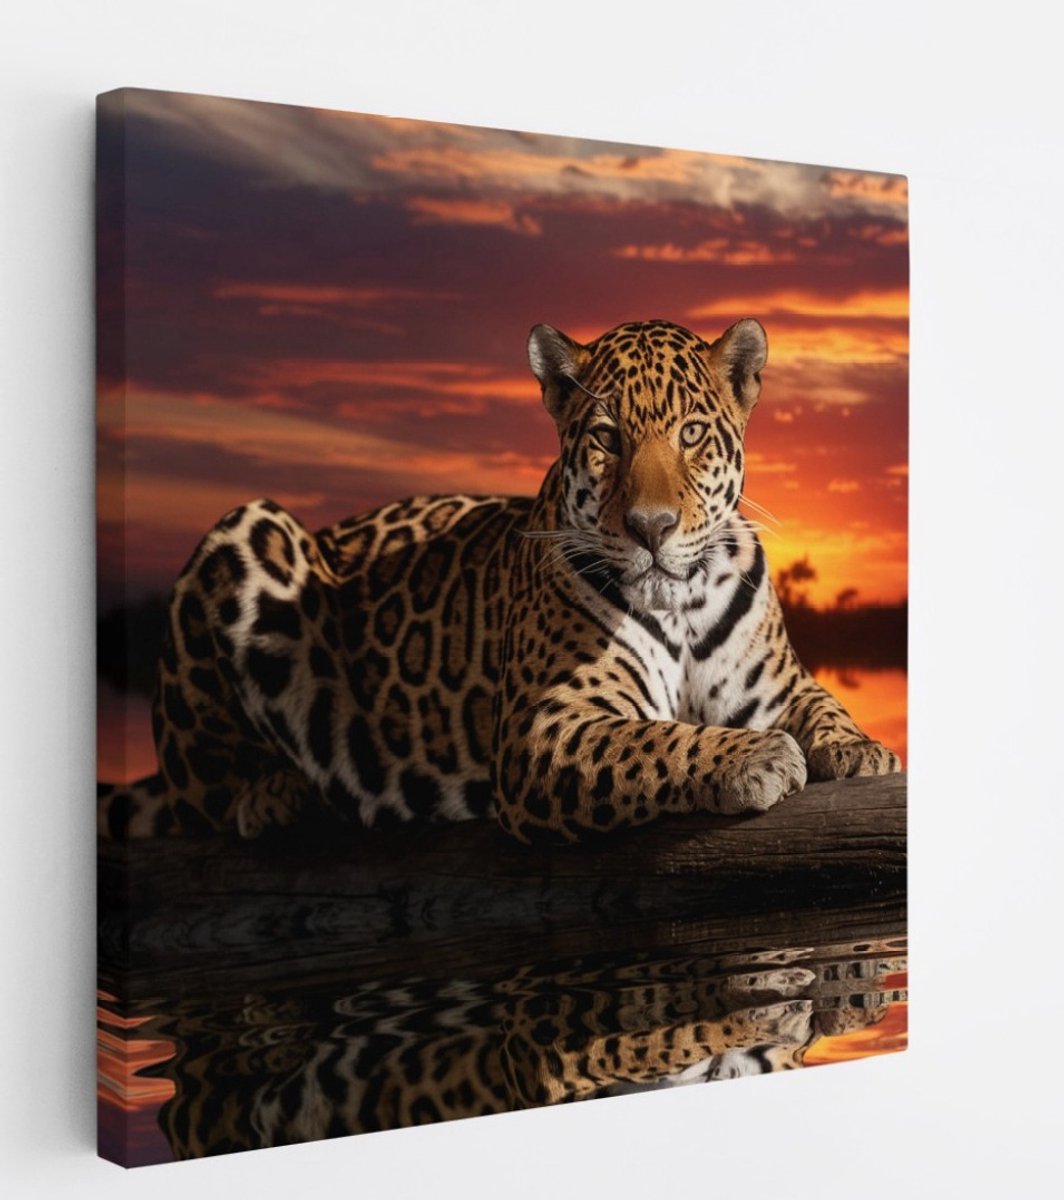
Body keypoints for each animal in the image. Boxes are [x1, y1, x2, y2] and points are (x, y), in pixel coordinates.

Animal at [97, 316, 901, 844]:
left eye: (692, 433)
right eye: (607, 438)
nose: (651, 527)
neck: (681, 603)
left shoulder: (776, 684)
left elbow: (822, 703)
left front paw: (860, 747)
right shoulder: (545, 728)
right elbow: (660, 740)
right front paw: (755, 757)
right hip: (244, 531)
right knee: (198, 792)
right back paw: (277, 795)